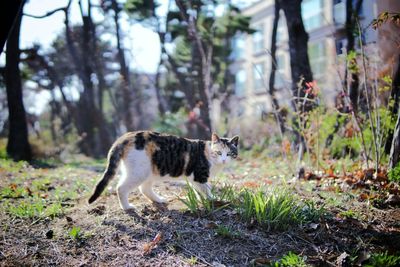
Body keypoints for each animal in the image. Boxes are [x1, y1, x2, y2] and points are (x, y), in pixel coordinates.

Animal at [88, 131, 238, 210]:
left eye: (230, 153)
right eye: (219, 153)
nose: (224, 160)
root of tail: (126, 136)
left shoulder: (195, 179)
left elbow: (199, 191)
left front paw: (201, 200)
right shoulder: (200, 176)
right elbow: (207, 190)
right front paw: (213, 200)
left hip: (149, 172)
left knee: (144, 188)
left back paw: (159, 200)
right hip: (139, 172)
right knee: (121, 188)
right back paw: (127, 207)